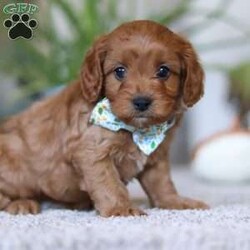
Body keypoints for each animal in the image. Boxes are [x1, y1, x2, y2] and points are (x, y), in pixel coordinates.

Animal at [0, 21, 208, 217]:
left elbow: (162, 183)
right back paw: (21, 203)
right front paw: (122, 209)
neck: (137, 130)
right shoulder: (93, 152)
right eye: (120, 71)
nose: (141, 102)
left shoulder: (157, 156)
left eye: (163, 71)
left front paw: (175, 202)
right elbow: (109, 183)